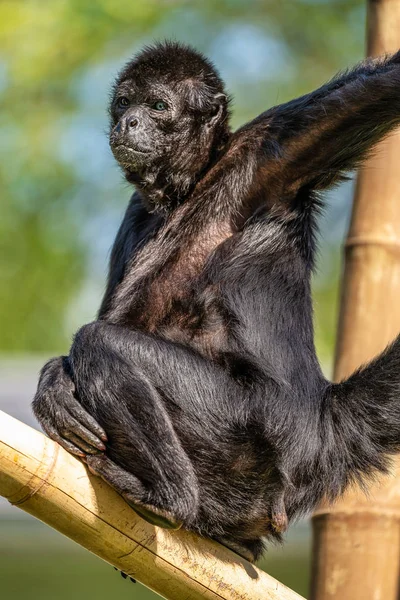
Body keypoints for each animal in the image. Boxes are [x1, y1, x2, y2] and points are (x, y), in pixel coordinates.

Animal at [32, 42, 400, 564]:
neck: (198, 180)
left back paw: (170, 500)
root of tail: (321, 424)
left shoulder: (267, 149)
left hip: (250, 430)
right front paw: (54, 385)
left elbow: (376, 90)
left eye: (157, 106)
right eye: (124, 104)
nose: (129, 123)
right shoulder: (137, 210)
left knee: (100, 343)